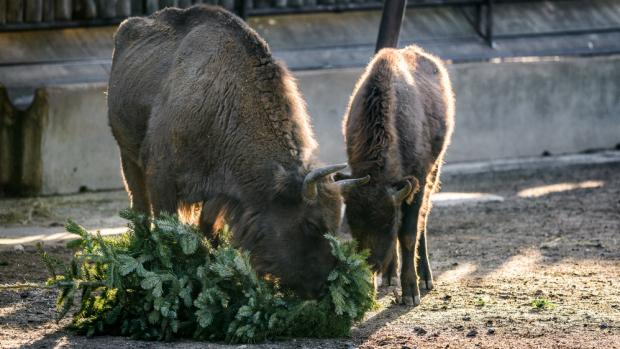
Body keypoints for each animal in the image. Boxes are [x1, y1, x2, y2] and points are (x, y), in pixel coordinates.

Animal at [107, 6, 368, 296]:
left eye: (336, 224)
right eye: (312, 223)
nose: (321, 287)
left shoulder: (219, 193)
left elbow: (208, 228)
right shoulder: (161, 176)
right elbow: (167, 228)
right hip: (127, 156)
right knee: (140, 209)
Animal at [340, 45, 456, 304]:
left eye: (388, 224)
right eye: (352, 224)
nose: (372, 265)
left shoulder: (419, 181)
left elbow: (409, 234)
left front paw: (411, 291)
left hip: (435, 169)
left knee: (423, 220)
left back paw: (425, 278)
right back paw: (390, 276)